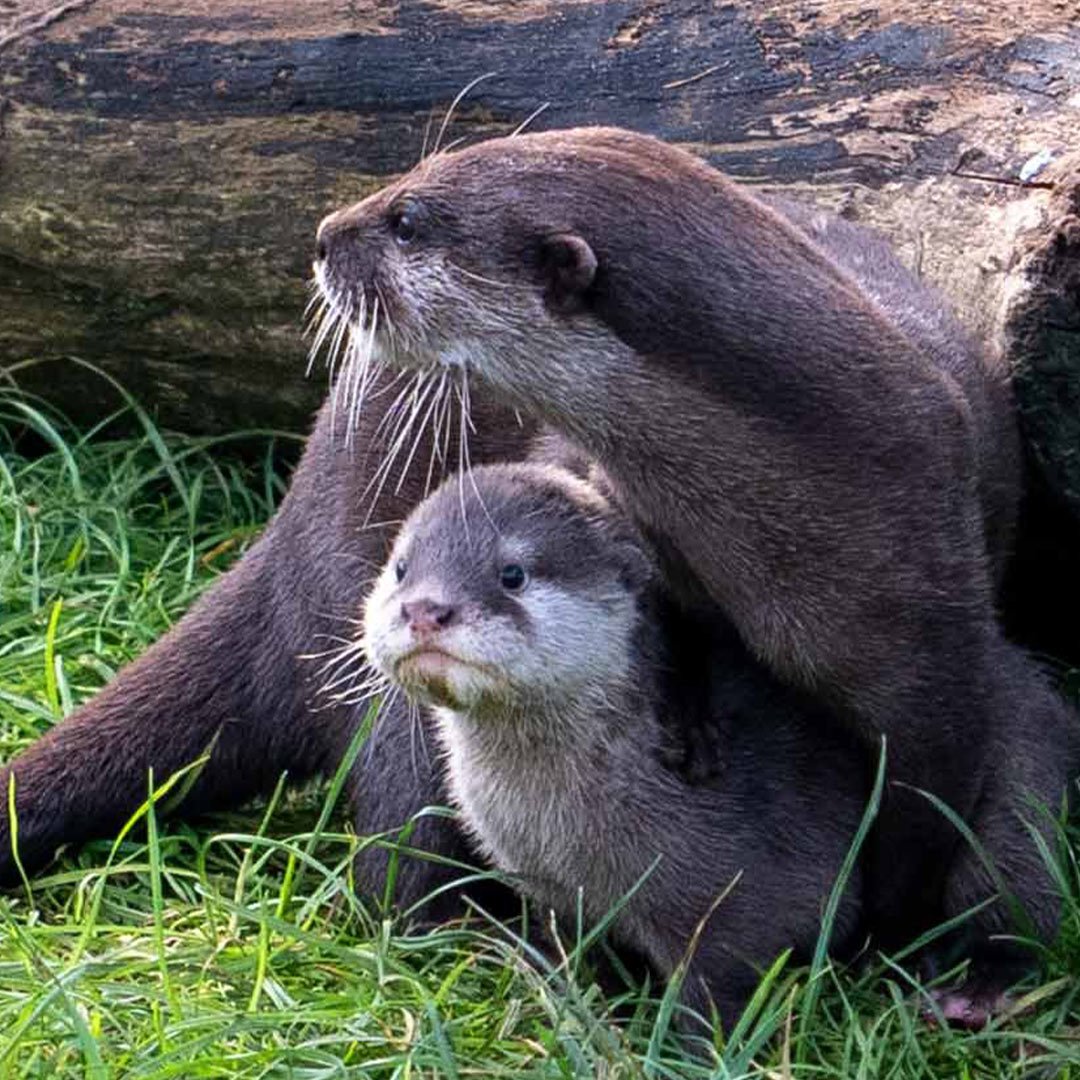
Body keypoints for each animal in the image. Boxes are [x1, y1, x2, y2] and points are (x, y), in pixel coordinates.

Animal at [362, 460, 868, 1023]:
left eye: (512, 574)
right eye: (402, 567)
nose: (425, 610)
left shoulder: (739, 907)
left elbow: (719, 992)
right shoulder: (555, 895)